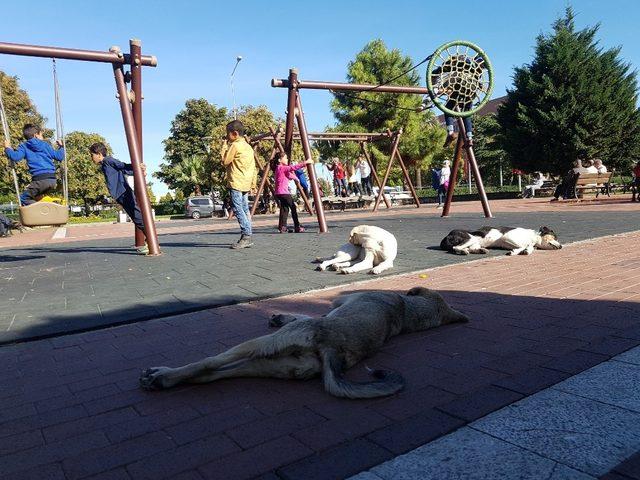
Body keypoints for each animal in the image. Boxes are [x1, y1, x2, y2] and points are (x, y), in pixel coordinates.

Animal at [140, 286, 468, 400]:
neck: (405, 310)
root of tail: (334, 350)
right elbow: (308, 311)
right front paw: (281, 314)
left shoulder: (337, 303)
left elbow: (310, 312)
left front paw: (282, 315)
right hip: (271, 364)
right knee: (215, 374)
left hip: (257, 345)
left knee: (208, 364)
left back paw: (163, 375)